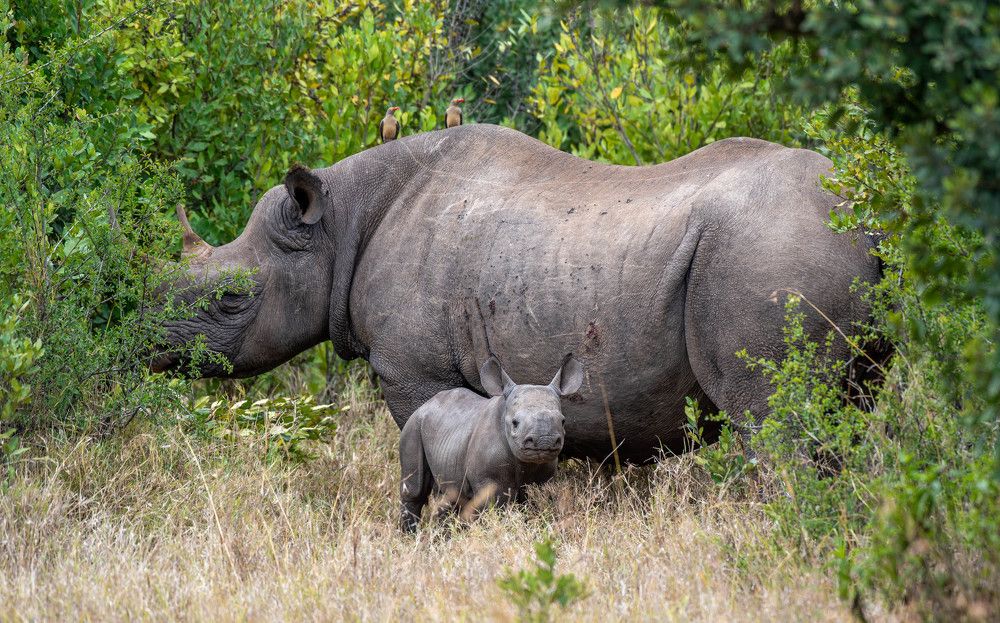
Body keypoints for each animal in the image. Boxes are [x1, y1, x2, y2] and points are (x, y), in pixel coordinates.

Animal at [153, 124, 880, 463]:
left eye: (230, 300)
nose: (151, 347)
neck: (338, 222)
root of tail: (866, 218)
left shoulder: (412, 367)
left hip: (765, 252)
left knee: (773, 423)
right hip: (810, 252)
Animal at [399, 355, 583, 532]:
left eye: (563, 421)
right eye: (515, 423)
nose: (545, 441)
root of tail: (425, 405)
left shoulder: (542, 479)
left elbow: (535, 503)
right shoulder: (489, 482)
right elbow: (498, 509)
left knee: (446, 495)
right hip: (413, 426)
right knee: (415, 489)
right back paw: (409, 535)